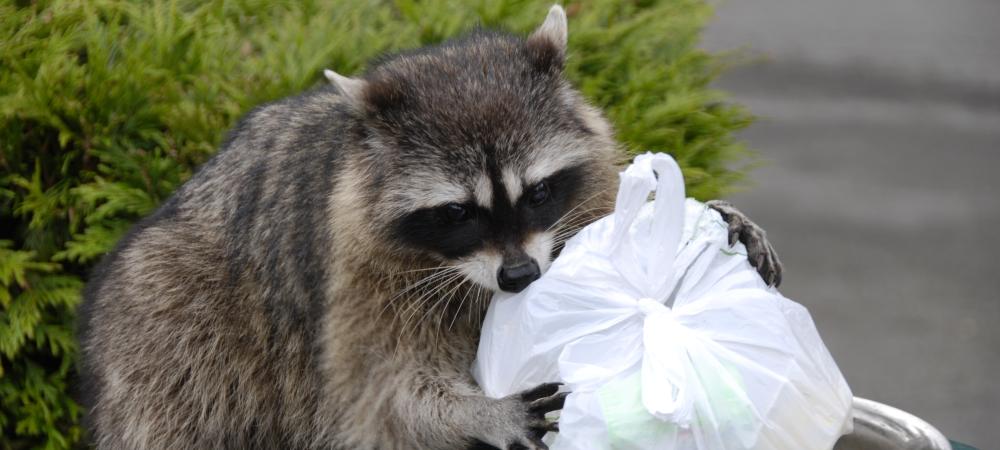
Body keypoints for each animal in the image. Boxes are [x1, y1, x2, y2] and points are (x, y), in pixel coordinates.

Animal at [78, 7, 780, 450]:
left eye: (539, 193)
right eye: (457, 213)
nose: (519, 276)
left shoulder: (583, 192)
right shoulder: (356, 280)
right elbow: (378, 395)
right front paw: (473, 411)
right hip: (169, 339)